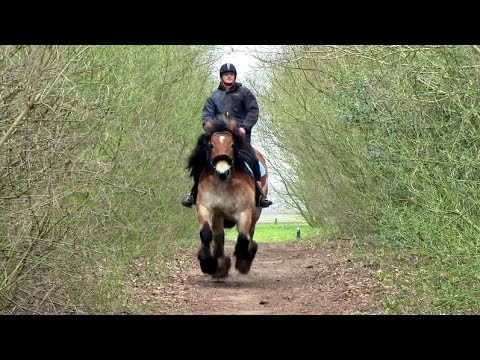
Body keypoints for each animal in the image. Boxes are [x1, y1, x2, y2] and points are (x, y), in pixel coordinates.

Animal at [186, 115, 268, 278]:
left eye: (232, 145)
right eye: (211, 145)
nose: (222, 171)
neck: (223, 183)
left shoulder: (244, 211)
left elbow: (243, 238)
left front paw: (241, 261)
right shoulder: (206, 207)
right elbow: (206, 234)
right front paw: (208, 264)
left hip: (255, 213)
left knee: (249, 234)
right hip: (218, 217)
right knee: (218, 237)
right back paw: (220, 266)